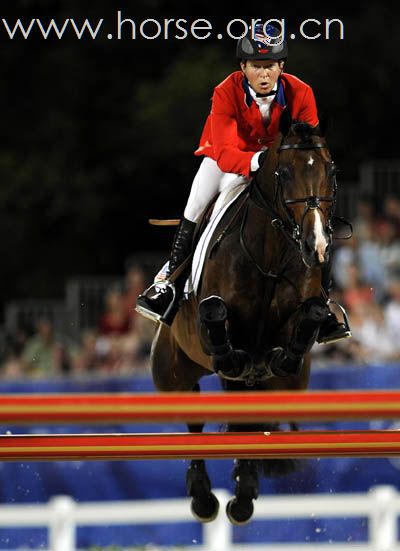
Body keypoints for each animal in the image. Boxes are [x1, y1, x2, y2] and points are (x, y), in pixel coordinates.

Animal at [150, 115, 338, 528]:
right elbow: (215, 315)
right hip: (170, 373)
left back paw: (243, 494)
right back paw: (205, 499)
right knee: (194, 418)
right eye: (283, 173)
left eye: (331, 172)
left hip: (292, 388)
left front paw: (273, 357)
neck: (269, 255)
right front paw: (235, 356)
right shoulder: (211, 318)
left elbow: (310, 316)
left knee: (250, 422)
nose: (316, 247)